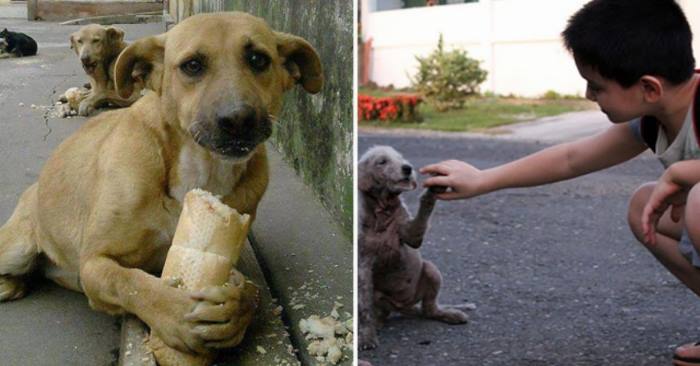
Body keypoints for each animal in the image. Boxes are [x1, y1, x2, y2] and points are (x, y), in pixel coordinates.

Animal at [0, 12, 322, 356]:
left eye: (258, 59)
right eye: (192, 65)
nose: (238, 120)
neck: (199, 170)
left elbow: (250, 290)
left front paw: (236, 310)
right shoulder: (93, 263)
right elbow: (131, 283)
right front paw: (175, 313)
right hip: (16, 248)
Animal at [358, 144, 468, 350]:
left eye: (401, 158)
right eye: (382, 161)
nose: (407, 168)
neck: (383, 211)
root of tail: (403, 306)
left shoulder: (412, 236)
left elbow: (421, 216)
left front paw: (434, 187)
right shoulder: (363, 266)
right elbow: (364, 306)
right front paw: (367, 336)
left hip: (431, 271)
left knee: (429, 309)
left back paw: (449, 314)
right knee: (380, 312)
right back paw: (377, 323)